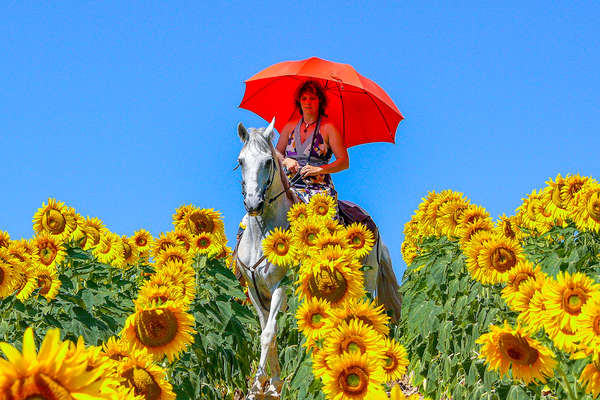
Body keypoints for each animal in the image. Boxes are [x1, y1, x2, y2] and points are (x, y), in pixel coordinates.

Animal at [236, 119, 404, 400]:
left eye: (268, 161)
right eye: (241, 161)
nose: (253, 203)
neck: (262, 235)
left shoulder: (281, 287)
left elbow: (269, 333)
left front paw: (257, 387)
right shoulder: (255, 290)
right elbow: (266, 334)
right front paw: (272, 386)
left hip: (366, 286)